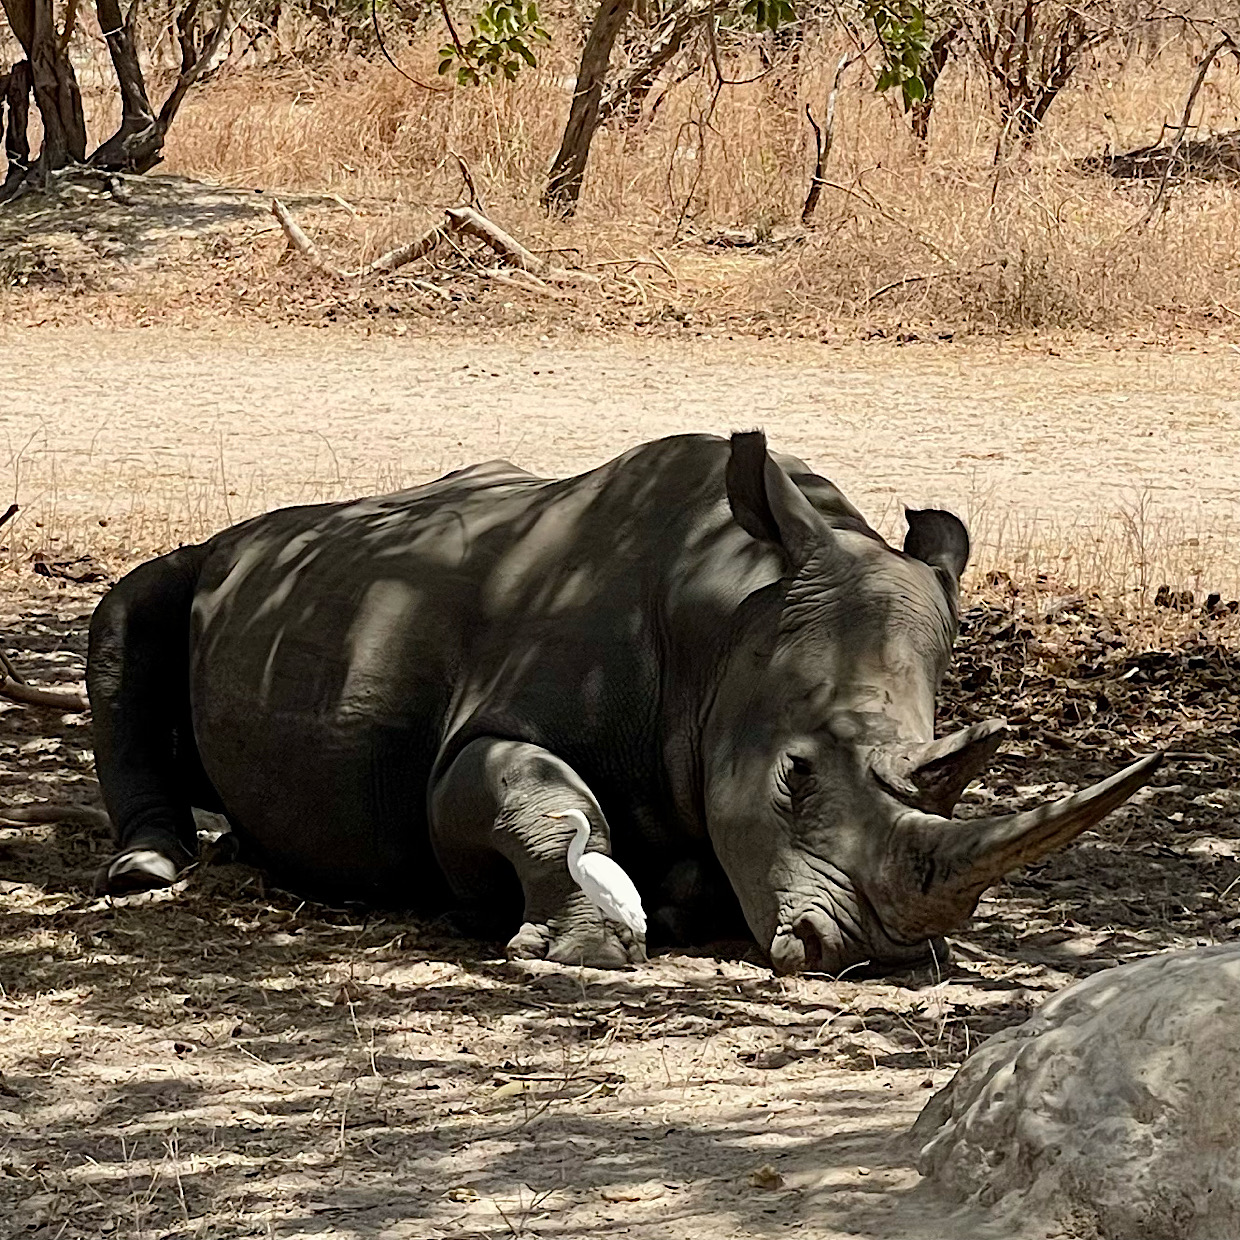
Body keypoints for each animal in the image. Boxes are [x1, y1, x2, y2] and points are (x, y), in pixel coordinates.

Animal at [87, 432, 1159, 974]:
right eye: (793, 779)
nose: (873, 954)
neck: (730, 619)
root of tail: (250, 532)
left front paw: (679, 897)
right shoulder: (479, 735)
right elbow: (522, 792)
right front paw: (587, 937)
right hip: (212, 559)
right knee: (129, 605)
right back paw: (147, 870)